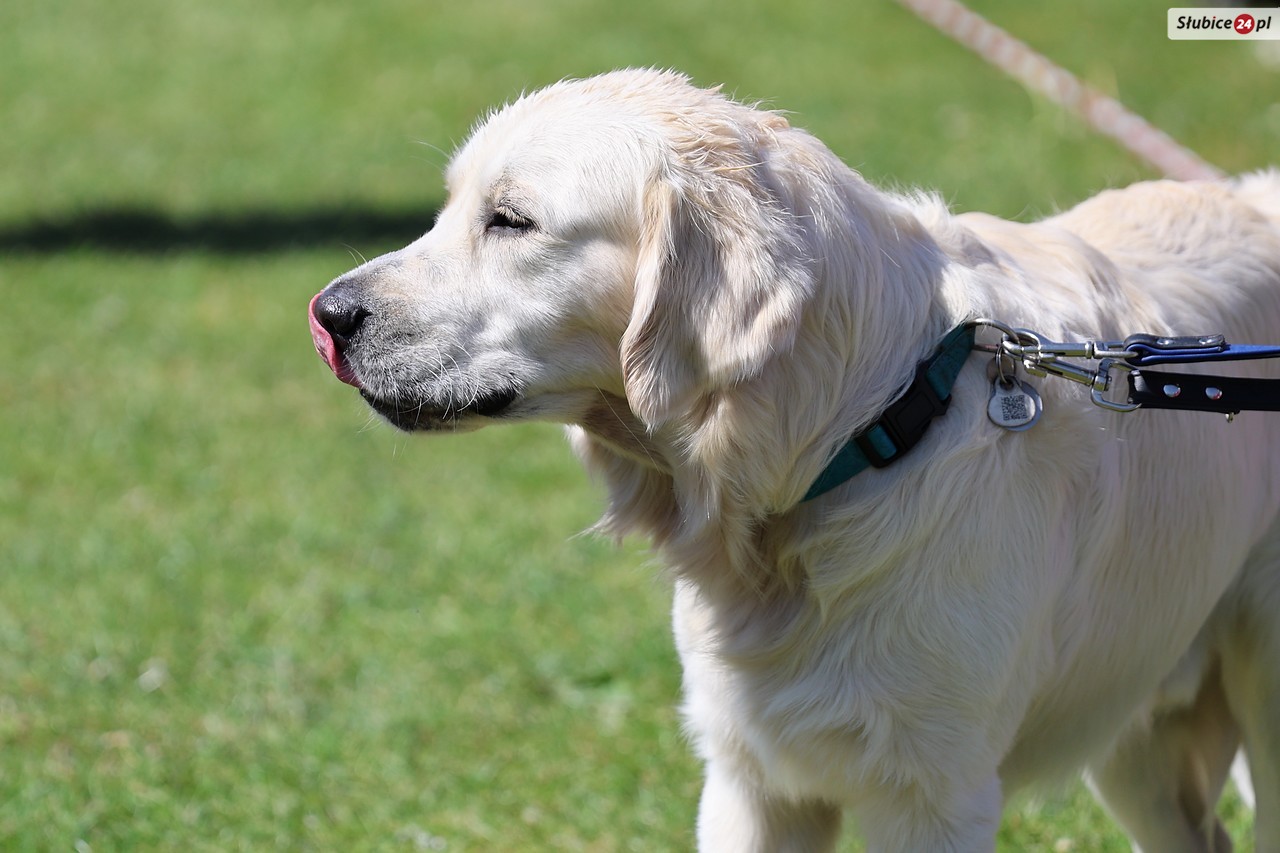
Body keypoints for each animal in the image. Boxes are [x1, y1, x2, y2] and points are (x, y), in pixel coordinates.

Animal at [309, 69, 1280, 851]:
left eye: (510, 221)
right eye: (446, 210)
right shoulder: (752, 781)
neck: (866, 430)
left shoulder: (932, 793)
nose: (327, 313)